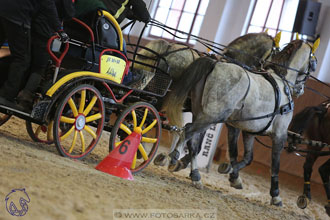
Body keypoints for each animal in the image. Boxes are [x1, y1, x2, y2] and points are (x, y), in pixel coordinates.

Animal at [162, 40, 318, 206]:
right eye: (312, 64)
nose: (300, 90)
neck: (282, 82)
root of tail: (215, 64)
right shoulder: (280, 135)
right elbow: (275, 166)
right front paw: (276, 196)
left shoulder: (247, 130)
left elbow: (245, 157)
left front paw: (231, 173)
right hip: (211, 116)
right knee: (187, 131)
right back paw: (174, 158)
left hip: (201, 113)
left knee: (192, 141)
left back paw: (195, 176)